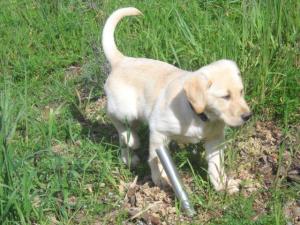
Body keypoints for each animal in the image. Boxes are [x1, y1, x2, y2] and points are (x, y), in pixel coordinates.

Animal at [102, 7, 251, 193]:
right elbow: (155, 159)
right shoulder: (158, 132)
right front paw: (160, 178)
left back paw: (128, 157)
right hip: (125, 110)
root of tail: (121, 60)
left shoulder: (215, 139)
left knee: (125, 136)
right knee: (114, 119)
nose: (248, 116)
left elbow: (216, 165)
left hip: (134, 117)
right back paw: (132, 141)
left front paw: (222, 185)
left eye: (241, 91)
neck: (199, 115)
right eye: (226, 96)